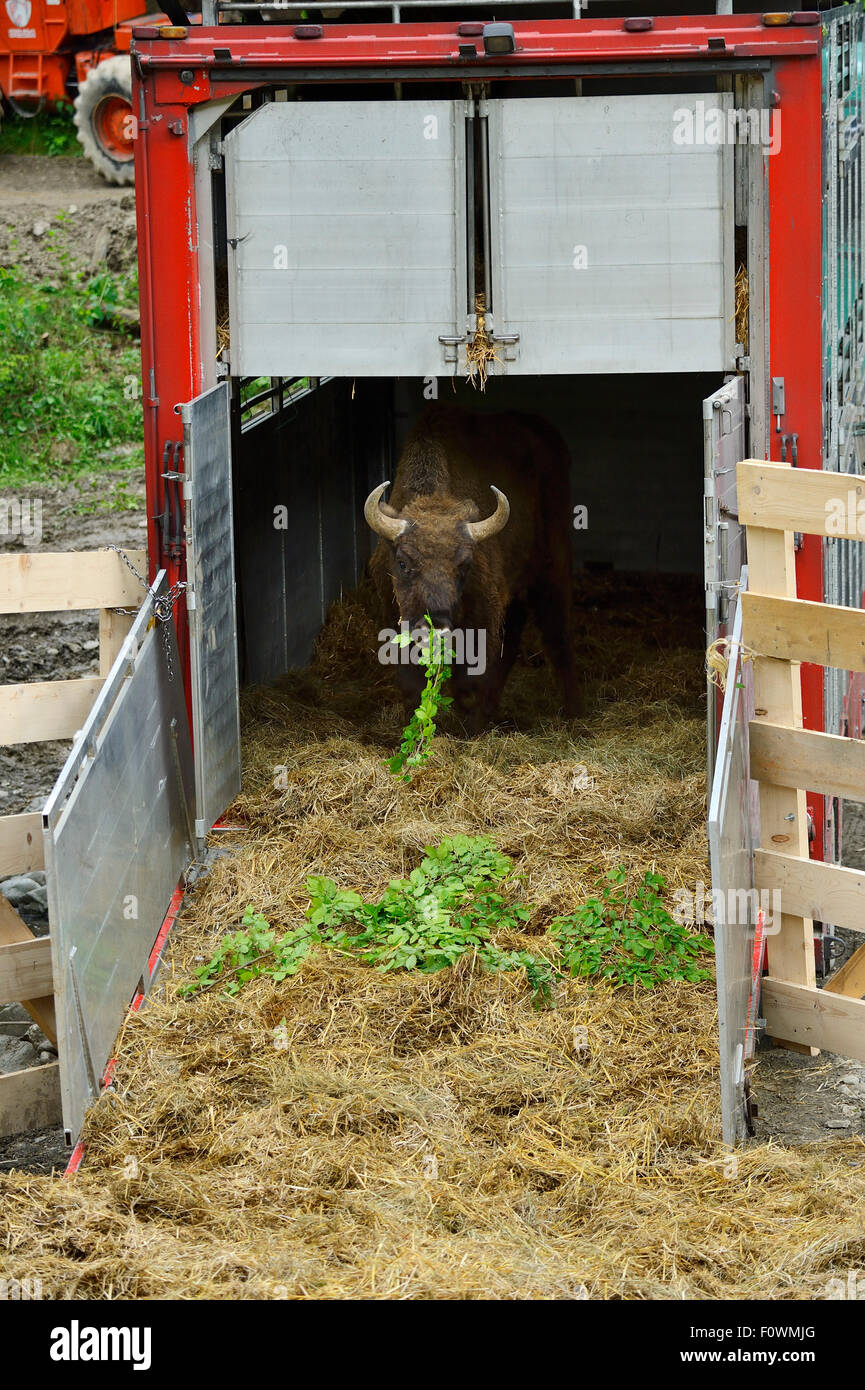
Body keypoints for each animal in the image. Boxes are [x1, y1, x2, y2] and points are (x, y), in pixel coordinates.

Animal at [367, 403, 584, 728]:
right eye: (403, 562)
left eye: (464, 564)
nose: (436, 626)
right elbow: (412, 684)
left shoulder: (482, 619)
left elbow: (469, 682)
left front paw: (469, 726)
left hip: (553, 565)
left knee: (557, 634)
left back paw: (574, 714)